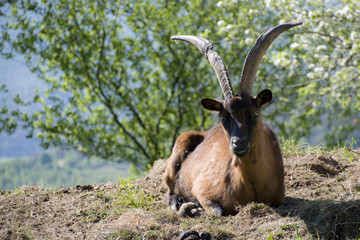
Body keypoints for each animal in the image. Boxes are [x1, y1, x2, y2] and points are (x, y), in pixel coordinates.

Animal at [163, 21, 300, 216]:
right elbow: (216, 211)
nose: (238, 143)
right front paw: (192, 208)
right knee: (170, 190)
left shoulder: (279, 198)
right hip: (179, 149)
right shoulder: (202, 188)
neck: (250, 183)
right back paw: (179, 202)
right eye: (222, 117)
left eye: (255, 113)